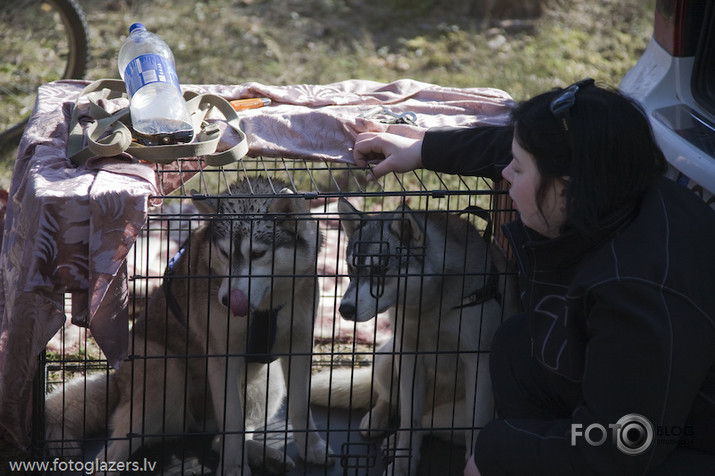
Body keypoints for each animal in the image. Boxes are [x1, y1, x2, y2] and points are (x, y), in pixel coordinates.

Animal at [46, 178, 332, 476]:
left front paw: (312, 447)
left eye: (257, 254)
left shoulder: (300, 346)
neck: (266, 307)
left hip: (269, 383)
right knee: (111, 453)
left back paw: (267, 456)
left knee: (218, 439)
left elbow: (300, 406)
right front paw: (233, 466)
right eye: (224, 253)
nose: (227, 300)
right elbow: (232, 421)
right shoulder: (222, 356)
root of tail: (117, 382)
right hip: (165, 377)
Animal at [314, 198, 504, 476]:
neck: (430, 307)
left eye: (380, 269)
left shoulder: (477, 362)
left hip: (465, 409)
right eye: (351, 267)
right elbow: (408, 419)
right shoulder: (408, 355)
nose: (344, 309)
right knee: (396, 404)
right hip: (386, 358)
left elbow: (474, 429)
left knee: (428, 421)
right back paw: (380, 421)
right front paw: (402, 464)